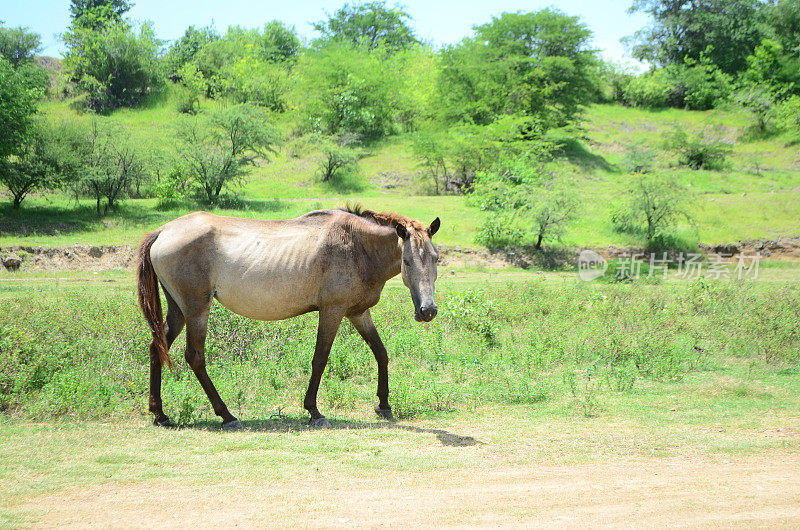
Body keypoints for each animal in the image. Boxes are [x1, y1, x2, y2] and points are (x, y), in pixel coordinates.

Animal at [135, 204, 440, 426]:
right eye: (407, 261)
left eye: (436, 258)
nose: (427, 311)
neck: (356, 245)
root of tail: (163, 230)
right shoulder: (333, 311)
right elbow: (320, 359)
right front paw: (313, 411)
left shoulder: (358, 312)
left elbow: (381, 352)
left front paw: (384, 404)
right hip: (196, 308)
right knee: (195, 357)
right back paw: (227, 415)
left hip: (178, 309)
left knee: (157, 346)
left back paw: (160, 414)